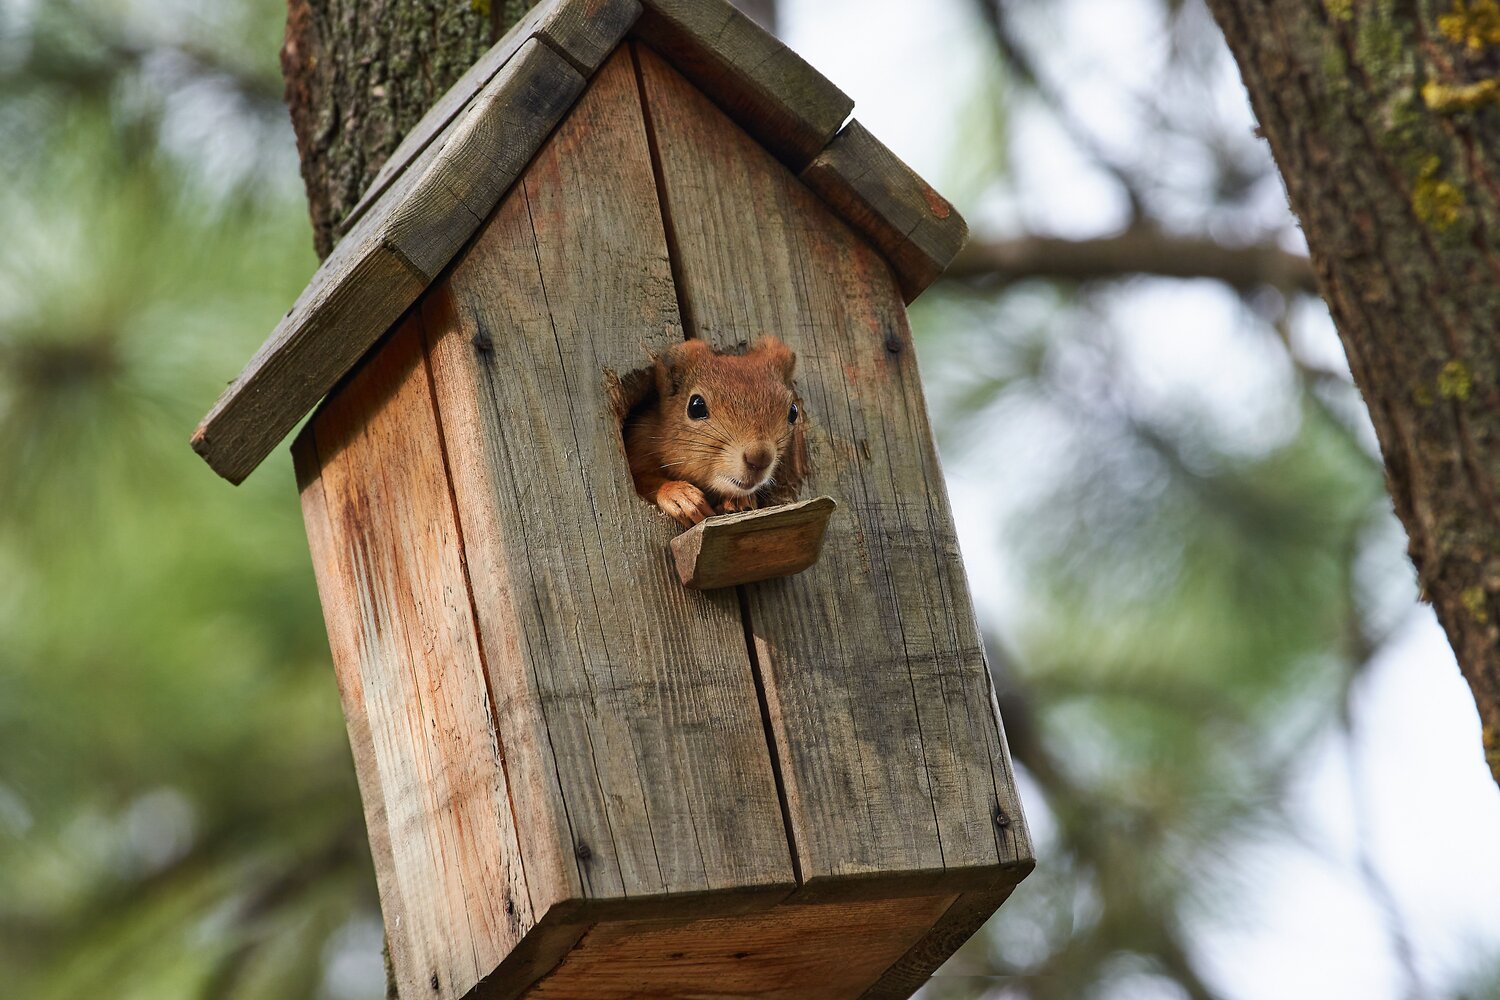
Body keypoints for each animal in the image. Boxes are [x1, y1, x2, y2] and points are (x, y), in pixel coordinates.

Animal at [625, 337, 802, 527]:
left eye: (793, 412)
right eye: (696, 407)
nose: (760, 458)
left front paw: (740, 500)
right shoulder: (640, 440)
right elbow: (642, 480)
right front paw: (679, 495)